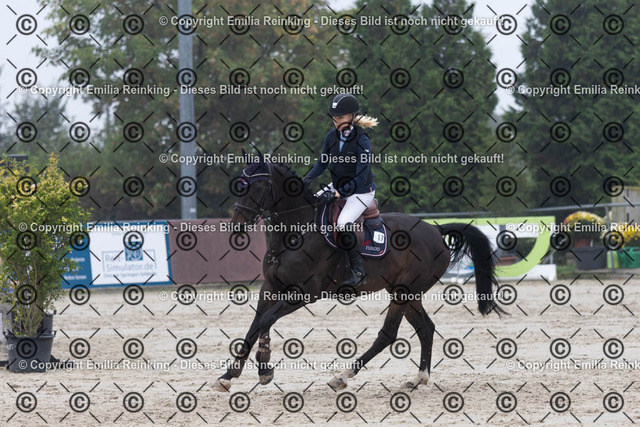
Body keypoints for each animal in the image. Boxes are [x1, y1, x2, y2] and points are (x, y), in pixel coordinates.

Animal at [212, 155, 505, 392]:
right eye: (240, 185)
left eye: (259, 187)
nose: (236, 224)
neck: (294, 234)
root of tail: (435, 229)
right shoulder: (271, 288)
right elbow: (254, 325)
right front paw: (229, 375)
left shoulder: (304, 293)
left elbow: (265, 321)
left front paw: (264, 369)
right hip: (407, 293)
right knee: (426, 328)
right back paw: (417, 379)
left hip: (404, 292)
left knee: (388, 334)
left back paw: (343, 376)